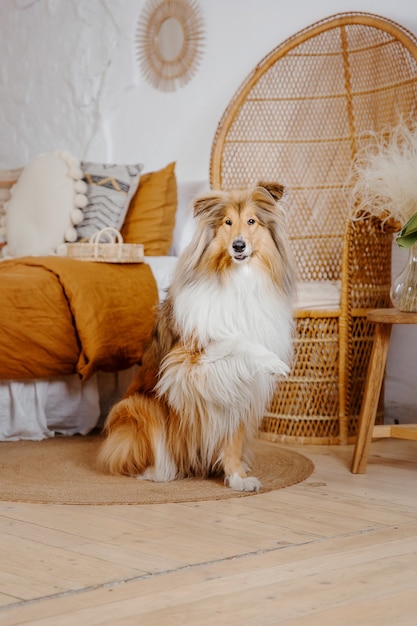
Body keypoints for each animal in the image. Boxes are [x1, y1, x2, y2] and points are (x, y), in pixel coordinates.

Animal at [96, 183, 294, 490]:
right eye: (227, 222)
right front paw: (272, 362)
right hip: (138, 406)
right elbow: (234, 339)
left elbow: (233, 441)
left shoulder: (241, 390)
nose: (238, 246)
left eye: (251, 221)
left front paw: (238, 478)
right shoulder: (183, 364)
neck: (239, 280)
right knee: (127, 456)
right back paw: (157, 472)